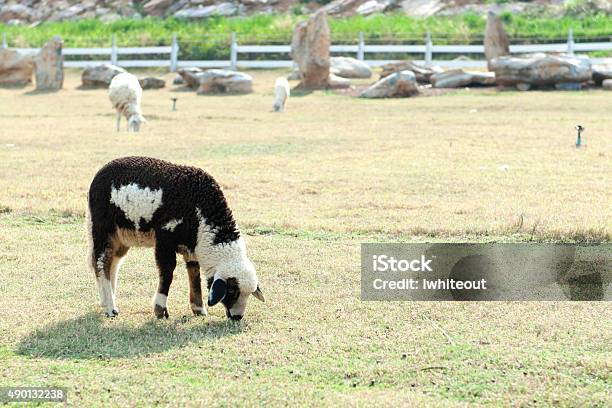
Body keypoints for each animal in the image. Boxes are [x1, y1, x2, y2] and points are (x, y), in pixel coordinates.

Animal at [87, 156, 264, 318]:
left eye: (248, 294)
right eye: (232, 291)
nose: (237, 317)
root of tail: (98, 174)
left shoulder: (191, 246)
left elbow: (194, 273)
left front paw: (198, 309)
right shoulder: (165, 238)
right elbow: (167, 272)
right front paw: (160, 310)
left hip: (122, 236)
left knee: (113, 262)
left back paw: (106, 301)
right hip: (102, 228)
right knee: (102, 263)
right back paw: (111, 308)